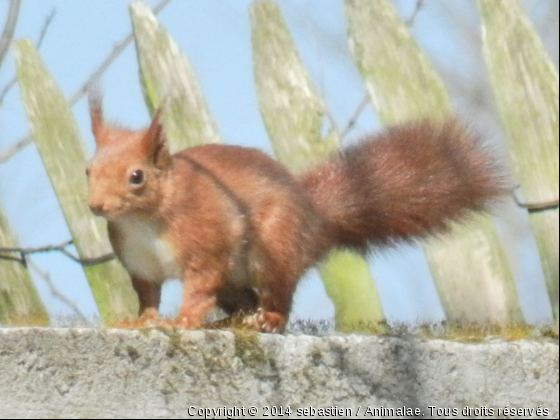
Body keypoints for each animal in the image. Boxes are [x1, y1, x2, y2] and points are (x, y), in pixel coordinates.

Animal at [84, 93, 508, 334]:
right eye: (88, 170)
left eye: (136, 177)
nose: (95, 206)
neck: (143, 222)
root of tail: (315, 219)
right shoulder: (141, 265)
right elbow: (148, 295)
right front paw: (141, 320)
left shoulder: (207, 241)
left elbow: (199, 285)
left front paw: (183, 320)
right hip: (236, 282)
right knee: (245, 300)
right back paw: (235, 319)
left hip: (274, 247)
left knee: (279, 297)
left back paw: (268, 320)